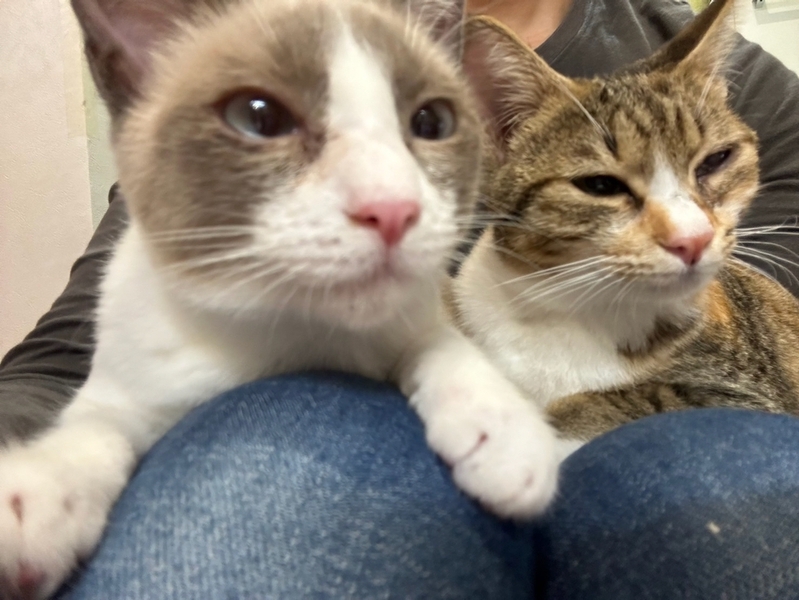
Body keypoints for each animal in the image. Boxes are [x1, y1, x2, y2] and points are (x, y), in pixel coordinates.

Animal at [450, 0, 799, 454]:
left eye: (715, 160)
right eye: (601, 185)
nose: (693, 239)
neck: (568, 308)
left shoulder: (753, 392)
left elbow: (647, 396)